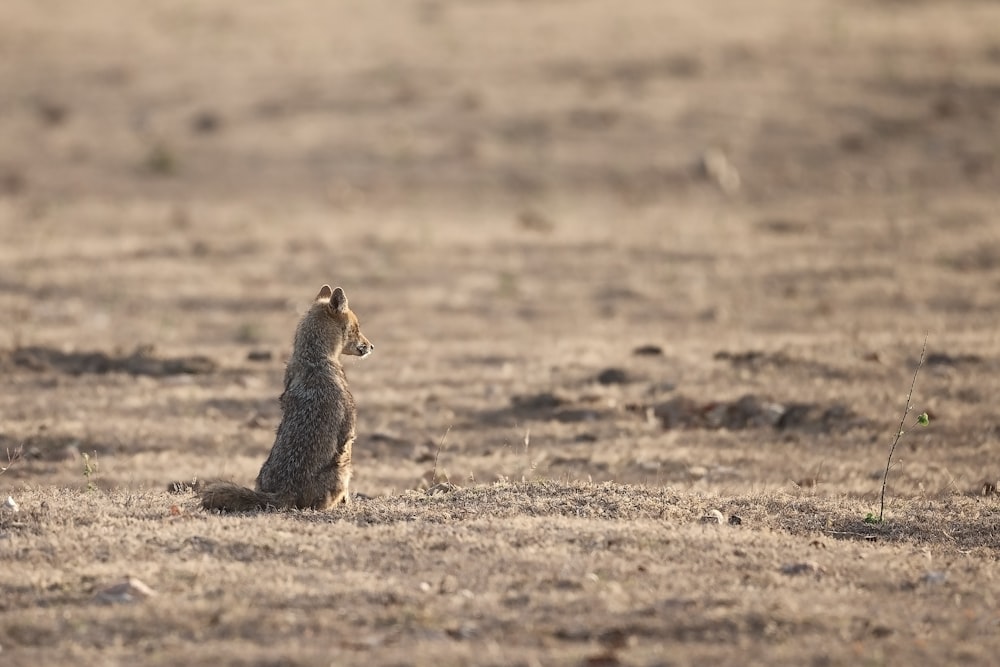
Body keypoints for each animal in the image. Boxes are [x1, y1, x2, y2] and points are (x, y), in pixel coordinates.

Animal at [199, 286, 372, 512]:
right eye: (357, 328)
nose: (371, 346)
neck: (313, 358)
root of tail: (284, 491)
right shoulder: (348, 433)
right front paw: (347, 503)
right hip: (343, 469)